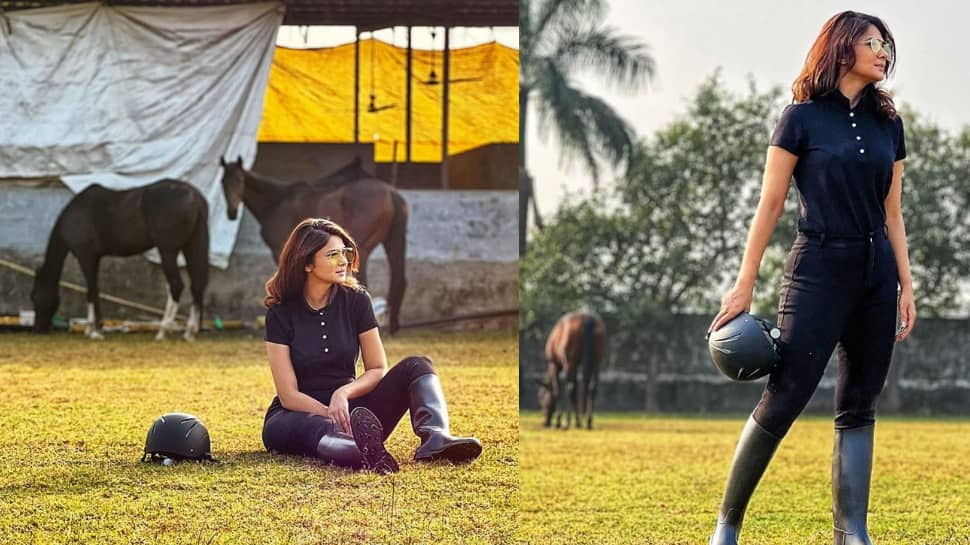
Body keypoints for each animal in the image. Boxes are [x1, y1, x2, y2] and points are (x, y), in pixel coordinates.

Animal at [31, 178, 208, 340]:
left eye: (34, 296)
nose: (38, 329)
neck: (75, 215)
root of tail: (193, 195)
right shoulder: (95, 258)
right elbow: (94, 290)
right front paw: (93, 328)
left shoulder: (86, 256)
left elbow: (91, 291)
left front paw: (94, 331)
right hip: (193, 246)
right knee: (197, 285)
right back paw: (190, 332)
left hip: (167, 251)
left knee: (176, 285)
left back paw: (162, 331)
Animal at [219, 156, 408, 332]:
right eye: (222, 182)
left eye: (240, 180)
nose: (231, 213)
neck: (277, 202)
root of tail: (391, 192)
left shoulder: (279, 250)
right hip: (392, 242)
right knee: (398, 278)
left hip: (361, 248)